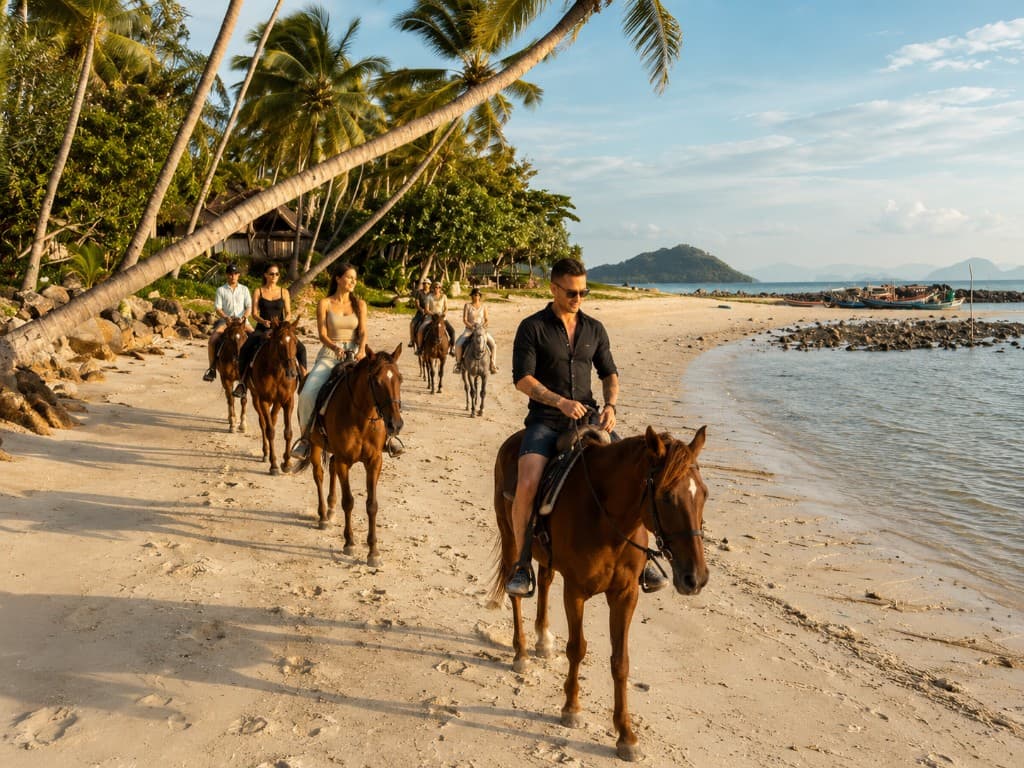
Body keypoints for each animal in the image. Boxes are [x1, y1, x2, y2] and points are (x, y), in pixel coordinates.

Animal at [246, 320, 300, 475]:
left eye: (295, 341)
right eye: (279, 343)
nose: (292, 373)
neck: (277, 372)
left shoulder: (288, 400)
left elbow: (288, 432)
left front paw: (287, 463)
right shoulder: (263, 400)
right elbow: (269, 430)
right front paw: (274, 465)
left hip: (277, 402)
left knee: (273, 418)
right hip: (256, 398)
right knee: (264, 423)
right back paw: (266, 453)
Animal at [295, 345, 403, 567]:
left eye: (400, 379)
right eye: (377, 381)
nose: (395, 424)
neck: (362, 416)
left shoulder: (374, 462)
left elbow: (372, 505)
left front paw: (373, 552)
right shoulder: (345, 461)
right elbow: (349, 501)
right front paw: (350, 543)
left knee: (331, 467)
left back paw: (330, 509)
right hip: (316, 446)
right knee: (319, 475)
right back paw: (323, 516)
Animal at [489, 425, 709, 762]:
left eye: (705, 495)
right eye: (667, 497)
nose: (695, 578)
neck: (607, 519)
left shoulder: (625, 594)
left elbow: (621, 662)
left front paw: (626, 736)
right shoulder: (575, 591)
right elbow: (577, 648)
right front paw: (571, 709)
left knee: (546, 579)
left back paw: (543, 640)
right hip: (510, 534)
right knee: (517, 591)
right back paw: (522, 652)